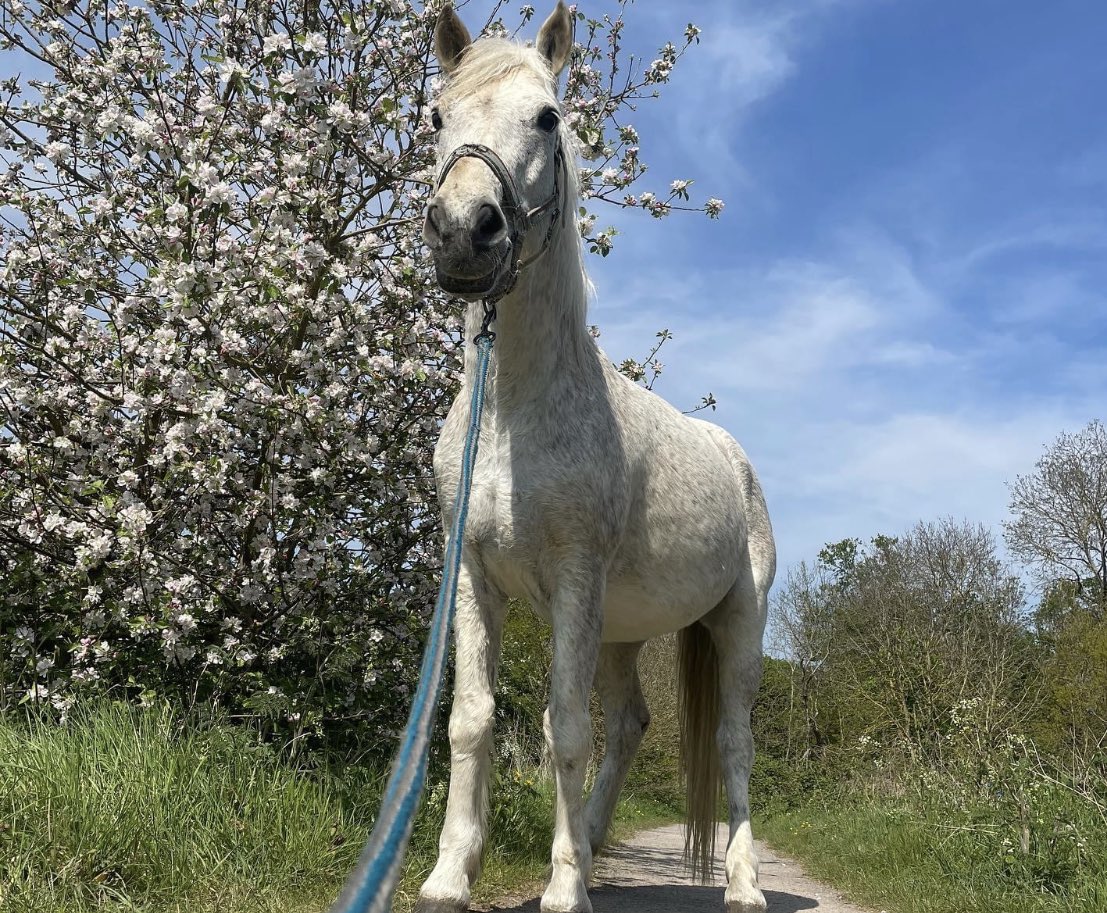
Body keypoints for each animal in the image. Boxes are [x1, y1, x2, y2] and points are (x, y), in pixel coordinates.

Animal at [418, 4, 776, 912]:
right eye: (435, 117)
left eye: (548, 118)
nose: (464, 231)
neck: (512, 410)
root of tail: (737, 460)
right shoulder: (473, 576)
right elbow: (470, 718)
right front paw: (449, 873)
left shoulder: (575, 575)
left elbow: (565, 729)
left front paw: (562, 889)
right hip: (621, 632)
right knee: (634, 723)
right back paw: (588, 839)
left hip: (738, 624)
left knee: (731, 741)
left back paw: (742, 883)